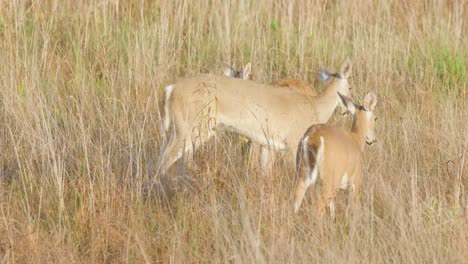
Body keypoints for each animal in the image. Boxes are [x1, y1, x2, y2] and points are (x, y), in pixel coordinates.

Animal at [161, 60, 352, 175]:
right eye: (350, 86)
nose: (348, 109)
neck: (316, 105)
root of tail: (171, 89)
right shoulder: (293, 143)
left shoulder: (269, 144)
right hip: (191, 129)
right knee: (164, 159)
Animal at [294, 92, 378, 220]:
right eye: (375, 118)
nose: (373, 140)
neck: (356, 140)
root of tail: (313, 137)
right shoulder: (356, 180)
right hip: (331, 178)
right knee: (319, 207)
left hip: (302, 171)